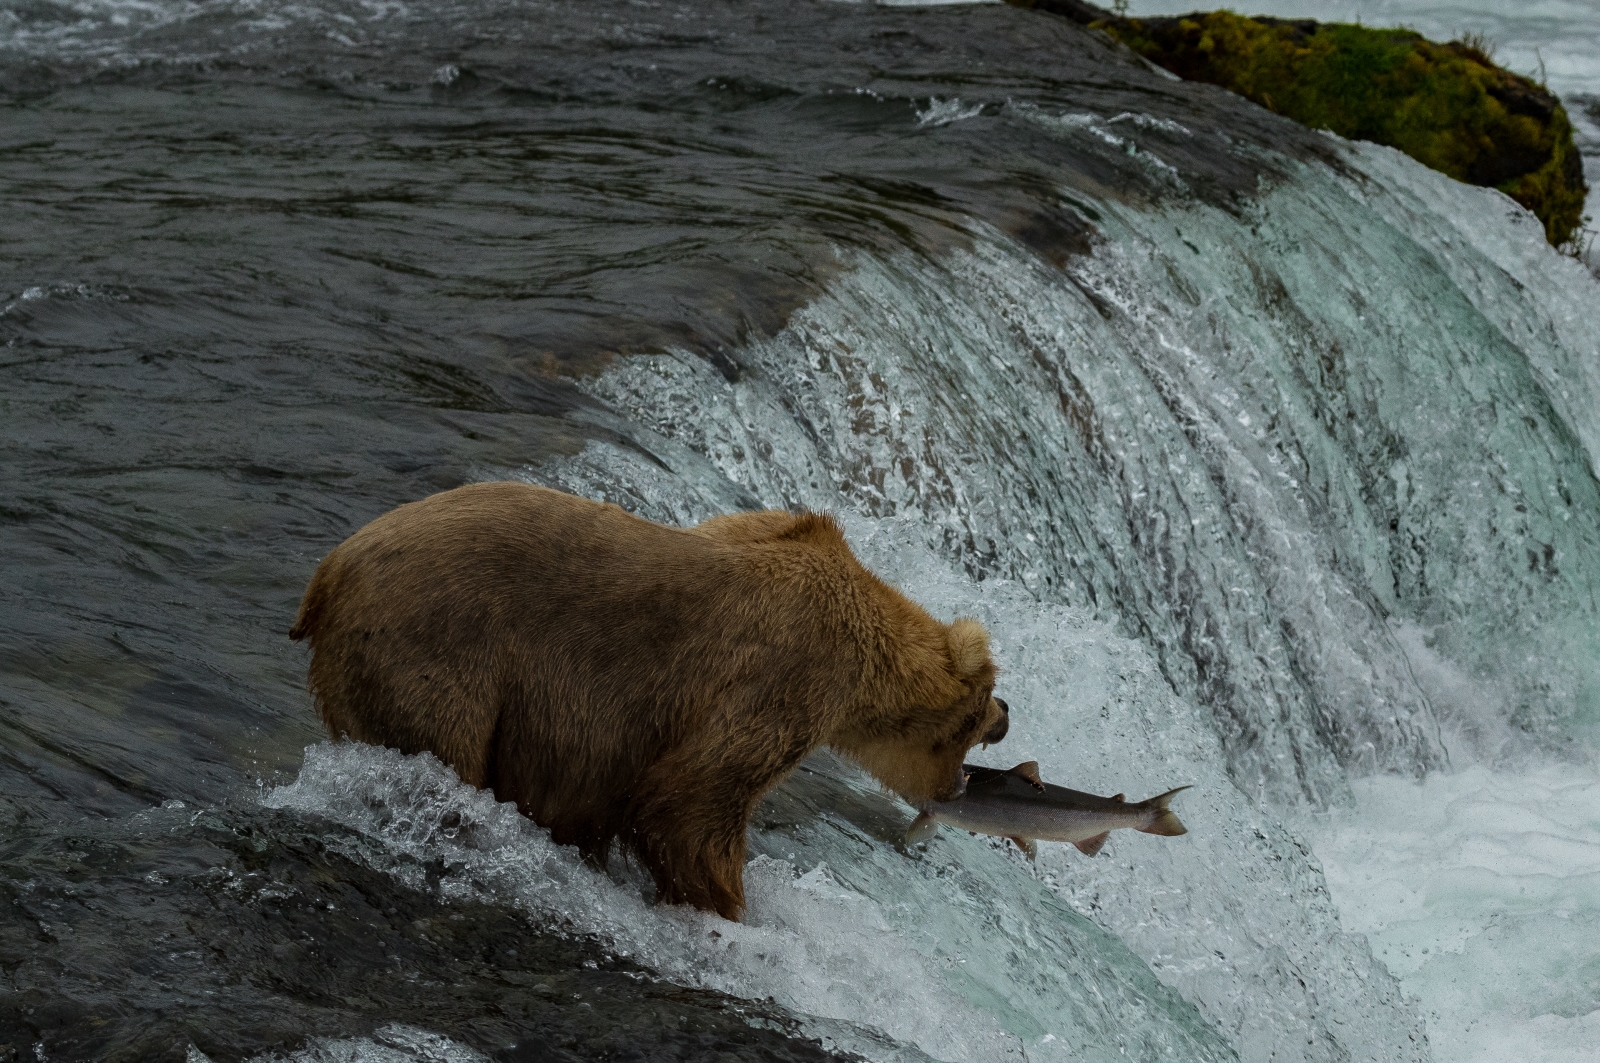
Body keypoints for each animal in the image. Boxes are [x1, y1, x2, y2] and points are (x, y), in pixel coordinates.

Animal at [294, 483, 1004, 922]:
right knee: (440, 765)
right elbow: (693, 803)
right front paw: (730, 909)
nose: (1003, 721)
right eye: (979, 719)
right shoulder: (785, 675)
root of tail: (329, 571)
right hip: (436, 654)